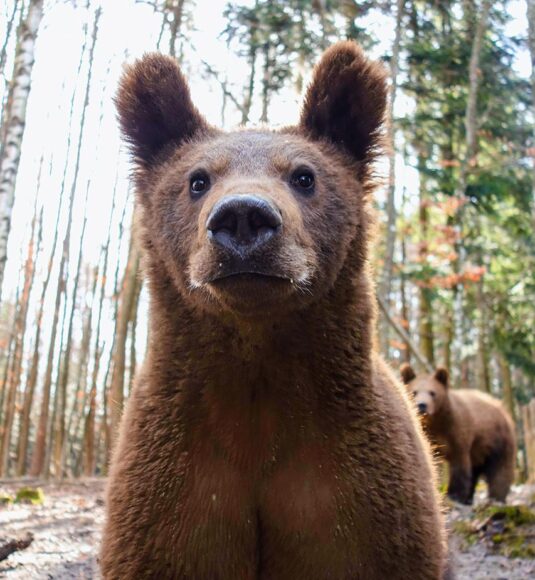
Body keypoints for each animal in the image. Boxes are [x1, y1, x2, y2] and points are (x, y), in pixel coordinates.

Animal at [404, 364, 516, 506]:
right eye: (414, 392)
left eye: (432, 392)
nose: (422, 405)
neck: (437, 423)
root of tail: (502, 408)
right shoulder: (429, 437)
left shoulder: (458, 434)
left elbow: (459, 465)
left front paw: (454, 494)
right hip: (480, 450)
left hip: (498, 440)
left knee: (500, 470)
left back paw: (497, 498)